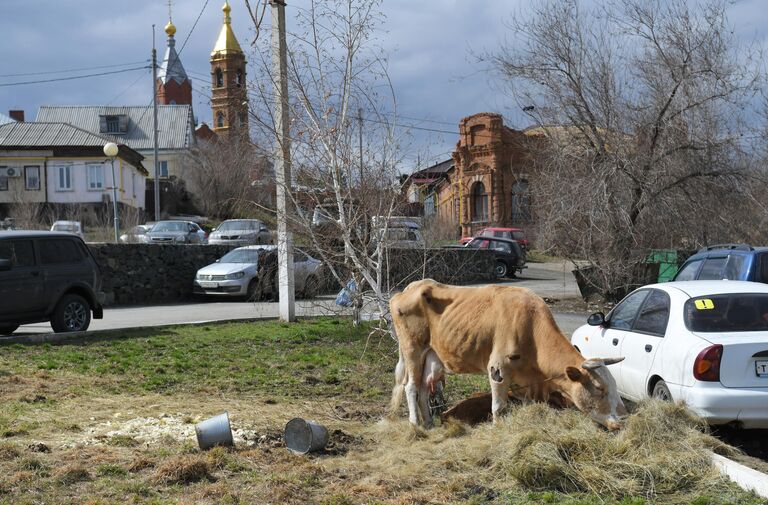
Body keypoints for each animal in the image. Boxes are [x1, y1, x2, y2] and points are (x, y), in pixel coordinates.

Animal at [388, 280, 628, 430]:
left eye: (615, 385)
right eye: (599, 388)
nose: (624, 418)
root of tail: (409, 288)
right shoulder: (498, 368)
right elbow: (498, 406)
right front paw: (497, 429)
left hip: (430, 355)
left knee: (422, 388)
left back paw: (428, 423)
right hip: (412, 349)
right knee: (410, 387)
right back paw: (415, 425)